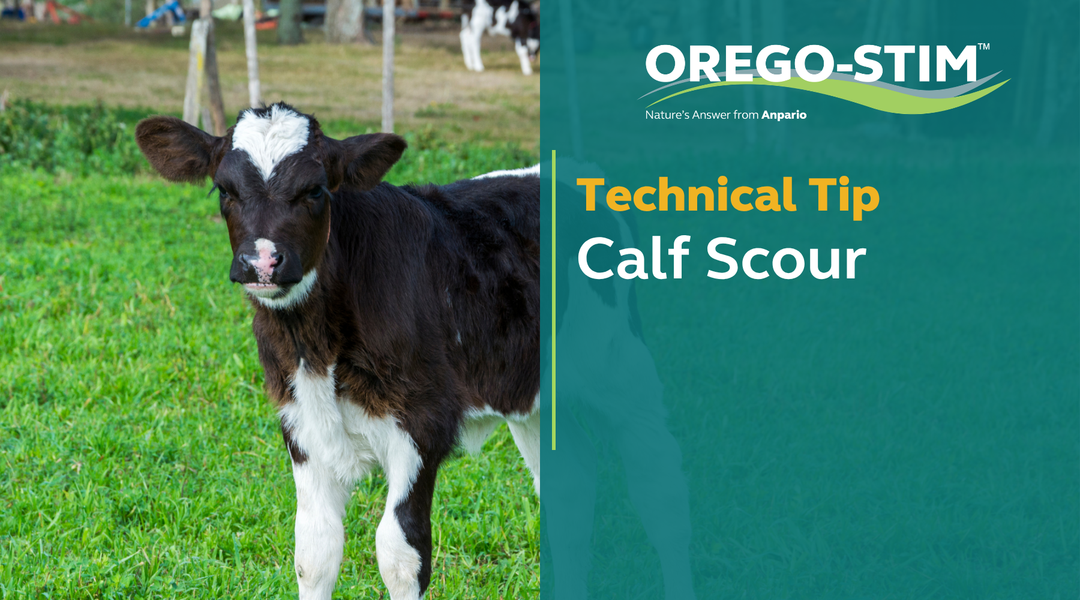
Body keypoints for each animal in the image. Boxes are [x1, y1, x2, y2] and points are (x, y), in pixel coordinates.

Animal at [134, 102, 540, 600]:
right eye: (224, 190)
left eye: (315, 189)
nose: (262, 262)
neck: (316, 351)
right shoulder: (301, 424)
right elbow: (314, 551)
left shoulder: (425, 422)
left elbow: (401, 553)